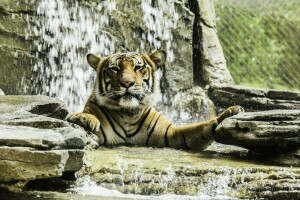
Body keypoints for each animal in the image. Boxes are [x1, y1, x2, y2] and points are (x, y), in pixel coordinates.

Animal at [66, 49, 244, 150]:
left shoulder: (173, 135)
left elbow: (203, 127)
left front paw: (229, 113)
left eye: (138, 67)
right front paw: (84, 118)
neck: (128, 114)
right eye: (114, 69)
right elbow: (87, 116)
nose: (127, 83)